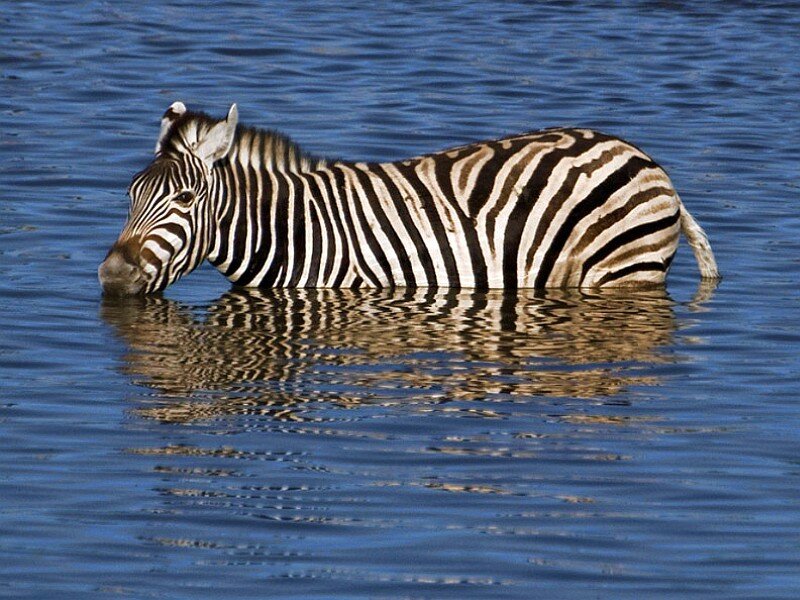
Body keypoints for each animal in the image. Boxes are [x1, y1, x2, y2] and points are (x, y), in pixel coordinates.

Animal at [98, 102, 719, 295]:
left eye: (183, 199)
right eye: (130, 195)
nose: (110, 277)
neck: (295, 227)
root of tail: (646, 158)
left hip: (623, 274)